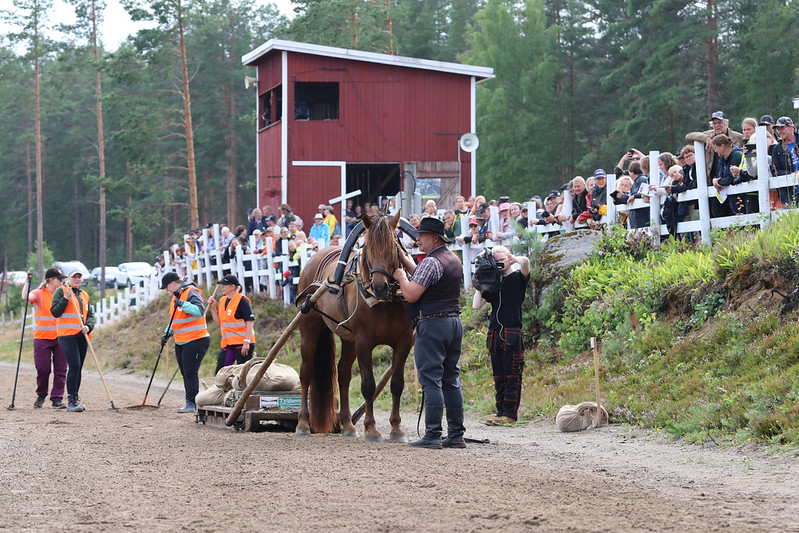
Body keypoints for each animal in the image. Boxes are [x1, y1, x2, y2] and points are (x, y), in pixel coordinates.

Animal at [296, 210, 416, 442]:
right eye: (367, 248)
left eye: (393, 247)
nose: (380, 286)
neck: (385, 301)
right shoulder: (364, 341)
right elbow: (368, 385)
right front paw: (371, 429)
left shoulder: (405, 341)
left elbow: (397, 383)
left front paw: (396, 429)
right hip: (309, 328)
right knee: (306, 372)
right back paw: (303, 423)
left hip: (348, 338)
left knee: (343, 375)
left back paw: (348, 424)